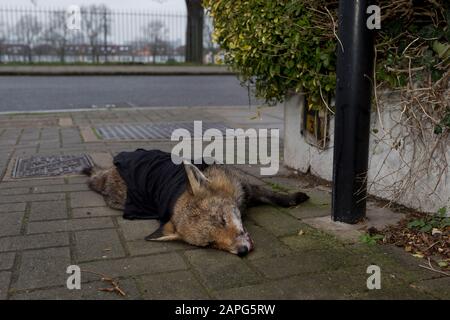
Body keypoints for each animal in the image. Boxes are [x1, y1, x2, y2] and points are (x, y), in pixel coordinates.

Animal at [81, 149, 310, 256]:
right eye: (210, 244)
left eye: (223, 220)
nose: (242, 251)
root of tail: (110, 171)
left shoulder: (244, 187)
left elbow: (272, 195)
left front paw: (294, 198)